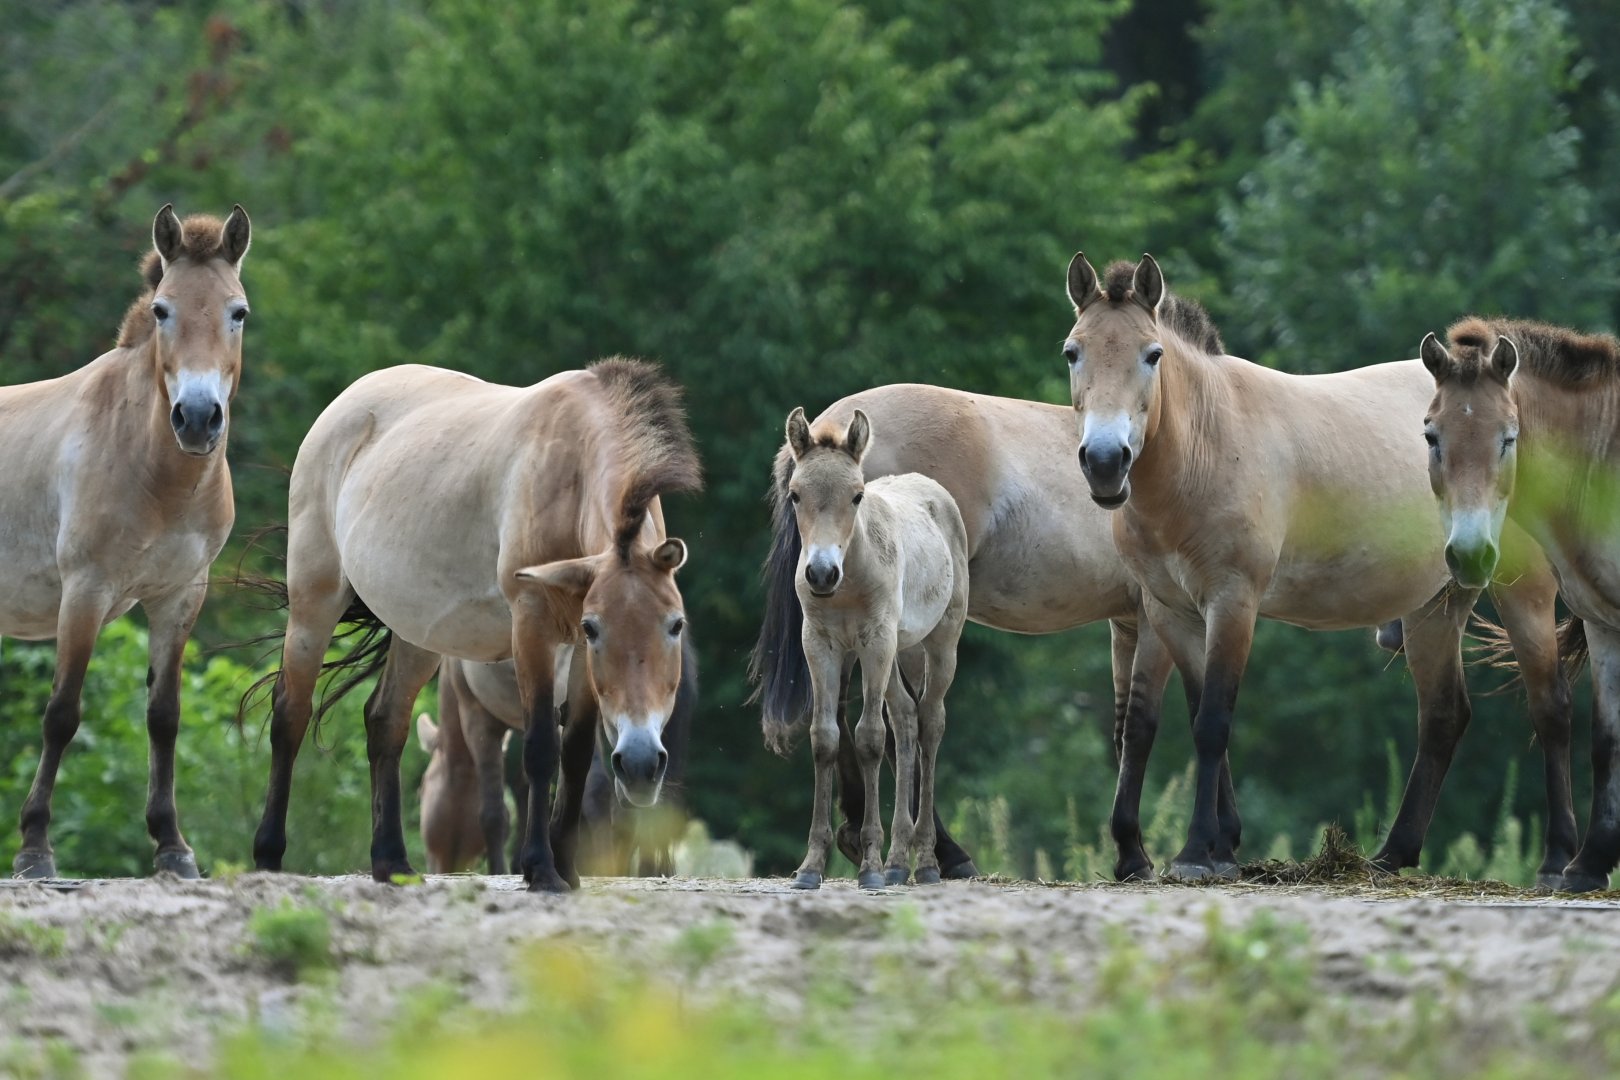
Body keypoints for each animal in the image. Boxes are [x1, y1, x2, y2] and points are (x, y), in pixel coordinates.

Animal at [0, 205, 251, 880]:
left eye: (238, 312)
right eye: (162, 310)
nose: (198, 418)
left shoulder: (179, 598)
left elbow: (164, 718)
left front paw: (172, 846)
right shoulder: (85, 593)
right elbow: (62, 715)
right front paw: (34, 849)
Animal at [415, 639, 696, 875]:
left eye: (422, 789)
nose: (443, 866)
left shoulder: (477, 720)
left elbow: (494, 814)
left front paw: (500, 871)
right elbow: (524, 791)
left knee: (598, 790)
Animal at [781, 407, 969, 889]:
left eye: (856, 496)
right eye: (795, 495)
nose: (820, 573)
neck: (850, 579)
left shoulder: (875, 640)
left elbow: (868, 738)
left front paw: (869, 864)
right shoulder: (821, 644)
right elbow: (825, 738)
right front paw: (811, 866)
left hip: (938, 641)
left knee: (930, 723)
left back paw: (926, 861)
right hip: (899, 651)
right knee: (904, 720)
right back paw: (900, 859)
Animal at [1060, 252, 1574, 884]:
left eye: (1152, 354)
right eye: (1073, 352)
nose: (1106, 461)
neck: (1205, 445)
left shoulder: (1232, 602)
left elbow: (1213, 722)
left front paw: (1198, 851)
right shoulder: (1171, 612)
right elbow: (1199, 713)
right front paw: (1224, 846)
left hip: (1524, 588)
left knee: (1550, 706)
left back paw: (1559, 858)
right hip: (1437, 603)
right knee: (1444, 717)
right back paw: (1393, 854)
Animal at [1415, 317, 1620, 891]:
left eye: (1509, 438)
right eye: (1431, 435)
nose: (1469, 554)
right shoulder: (1603, 624)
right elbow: (1606, 740)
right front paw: (1589, 863)